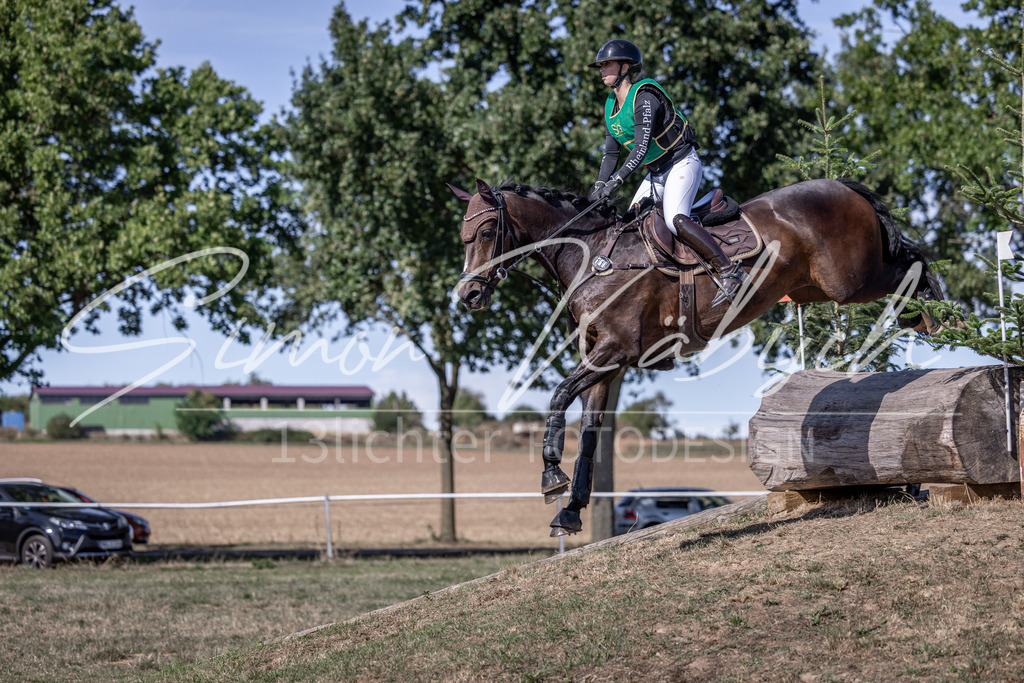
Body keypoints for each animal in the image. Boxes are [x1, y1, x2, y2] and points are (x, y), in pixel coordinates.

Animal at [451, 177, 942, 536]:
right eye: (463, 237)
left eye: (486, 232)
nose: (468, 296)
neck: (593, 259)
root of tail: (842, 185)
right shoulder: (603, 364)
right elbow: (589, 433)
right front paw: (570, 510)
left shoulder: (615, 350)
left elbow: (556, 396)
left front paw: (551, 476)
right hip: (816, 286)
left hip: (850, 279)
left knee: (913, 261)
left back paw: (933, 312)